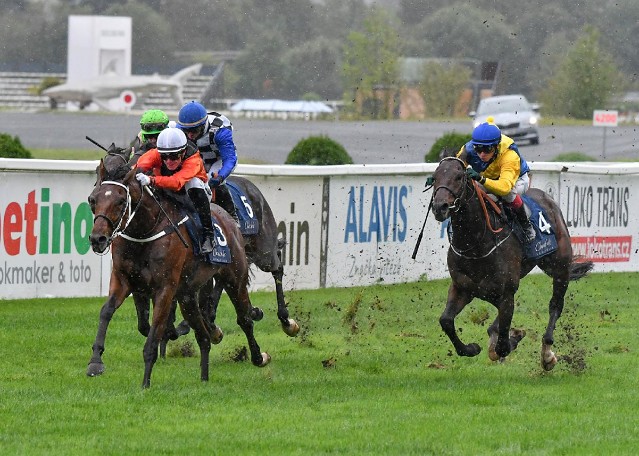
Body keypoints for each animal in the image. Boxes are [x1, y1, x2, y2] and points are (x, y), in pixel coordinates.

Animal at [85, 162, 270, 386]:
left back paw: (259, 357)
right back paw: (204, 377)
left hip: (235, 279)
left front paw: (145, 383)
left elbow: (155, 331)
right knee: (203, 336)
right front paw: (95, 362)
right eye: (93, 199)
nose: (98, 239)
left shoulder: (164, 289)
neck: (144, 232)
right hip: (187, 296)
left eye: (121, 201)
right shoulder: (123, 280)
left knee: (244, 319)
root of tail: (229, 218)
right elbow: (106, 311)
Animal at [430, 157, 596, 370]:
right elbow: (446, 321)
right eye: (435, 177)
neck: (476, 243)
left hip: (560, 267)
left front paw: (513, 338)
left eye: (459, 177)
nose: (439, 207)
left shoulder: (506, 292)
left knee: (555, 306)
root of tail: (547, 197)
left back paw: (547, 354)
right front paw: (471, 348)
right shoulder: (462, 287)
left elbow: (502, 345)